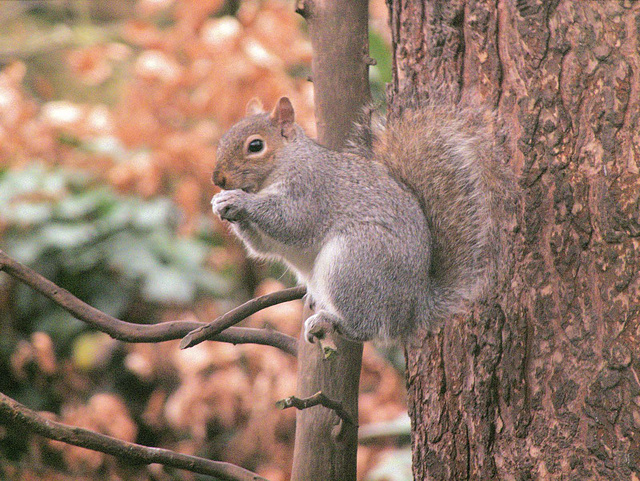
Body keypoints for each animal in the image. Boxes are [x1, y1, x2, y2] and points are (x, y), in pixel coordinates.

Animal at [210, 97, 516, 344]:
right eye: (222, 140)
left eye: (255, 146)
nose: (218, 179)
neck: (284, 163)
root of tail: (413, 306)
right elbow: (262, 246)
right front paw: (222, 204)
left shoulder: (311, 189)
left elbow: (292, 222)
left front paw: (239, 201)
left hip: (354, 262)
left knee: (367, 328)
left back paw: (333, 321)